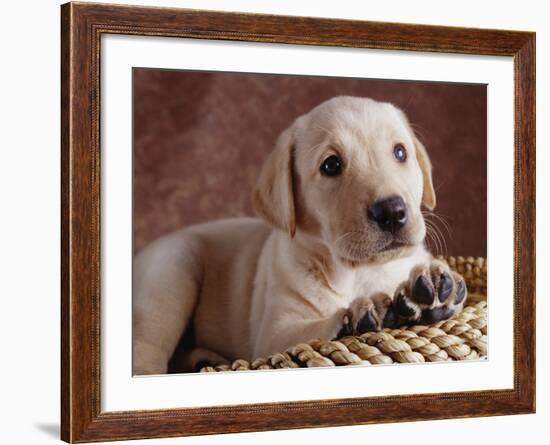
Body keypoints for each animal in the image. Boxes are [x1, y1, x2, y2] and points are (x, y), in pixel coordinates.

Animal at [135, 95, 470, 372]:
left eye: (400, 152)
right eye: (331, 165)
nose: (391, 212)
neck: (361, 272)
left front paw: (434, 290)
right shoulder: (273, 333)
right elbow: (311, 332)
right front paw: (358, 316)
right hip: (174, 270)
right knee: (147, 348)